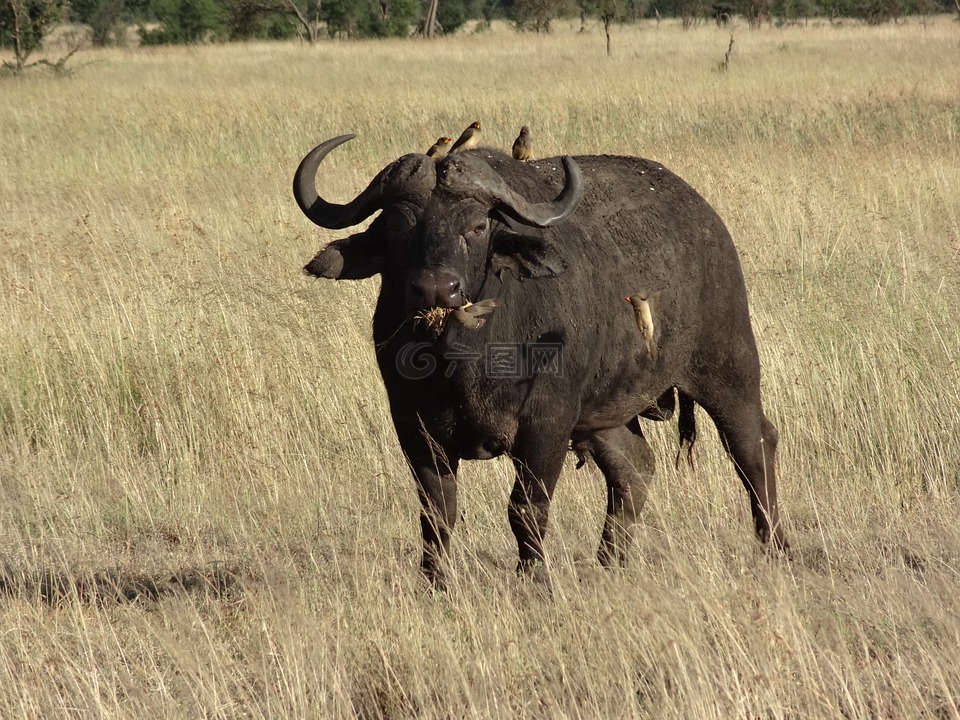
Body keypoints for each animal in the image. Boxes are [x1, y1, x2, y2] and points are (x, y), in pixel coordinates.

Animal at [294, 135, 788, 592]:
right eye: (397, 225)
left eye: (477, 225)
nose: (436, 288)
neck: (463, 360)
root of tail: (705, 218)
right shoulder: (413, 424)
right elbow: (437, 511)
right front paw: (435, 583)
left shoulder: (547, 422)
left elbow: (526, 509)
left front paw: (533, 580)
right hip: (605, 413)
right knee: (635, 467)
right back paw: (609, 562)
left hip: (727, 365)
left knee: (753, 446)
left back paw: (775, 547)